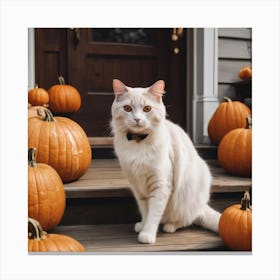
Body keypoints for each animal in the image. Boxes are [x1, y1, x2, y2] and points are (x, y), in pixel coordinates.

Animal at [110, 80, 220, 244]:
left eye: (147, 109)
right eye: (127, 108)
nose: (137, 119)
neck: (138, 142)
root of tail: (202, 206)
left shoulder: (160, 185)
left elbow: (154, 214)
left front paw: (147, 234)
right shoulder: (138, 188)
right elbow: (145, 211)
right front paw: (143, 226)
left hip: (185, 197)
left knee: (185, 220)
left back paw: (170, 226)